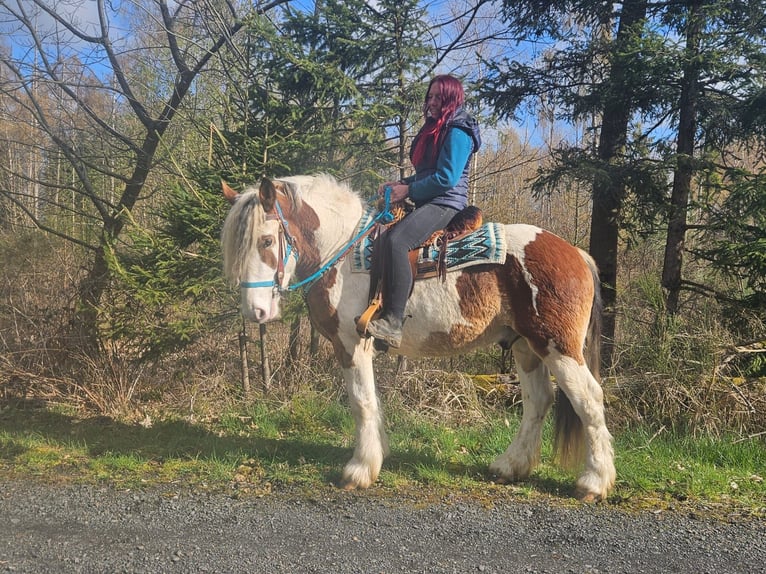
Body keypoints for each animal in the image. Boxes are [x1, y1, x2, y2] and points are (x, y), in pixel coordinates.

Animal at [221, 174, 616, 502]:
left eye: (266, 240)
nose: (254, 312)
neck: (342, 253)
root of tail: (576, 253)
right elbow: (372, 402)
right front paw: (376, 456)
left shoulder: (350, 343)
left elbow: (361, 402)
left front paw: (359, 470)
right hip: (526, 347)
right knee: (538, 401)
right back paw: (510, 466)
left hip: (558, 347)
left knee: (589, 400)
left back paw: (594, 482)